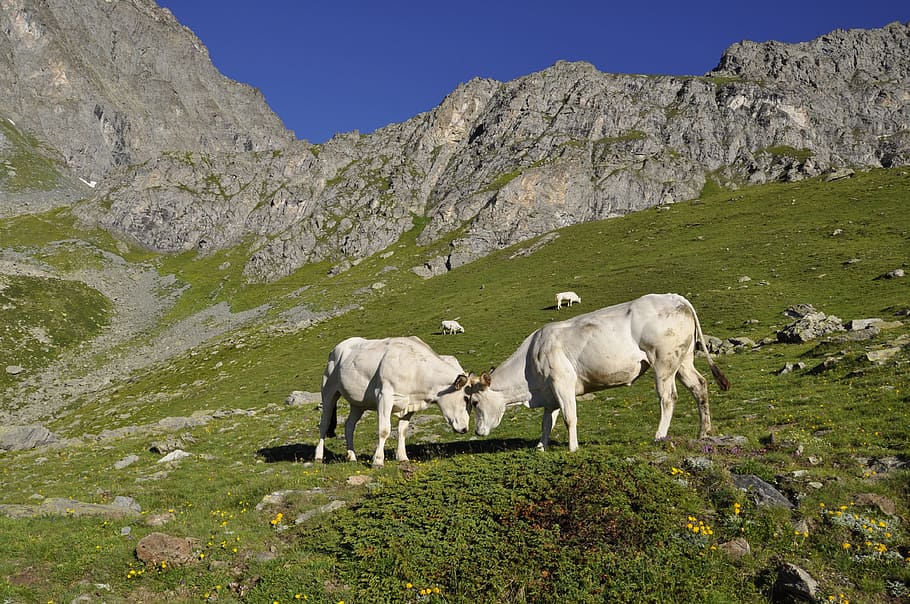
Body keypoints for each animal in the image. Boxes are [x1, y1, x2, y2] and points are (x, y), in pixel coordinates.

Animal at [314, 336, 472, 467]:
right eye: (465, 398)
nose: (465, 429)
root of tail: (338, 347)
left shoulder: (409, 404)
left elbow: (402, 430)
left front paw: (402, 457)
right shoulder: (384, 396)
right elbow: (384, 430)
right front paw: (378, 461)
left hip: (358, 403)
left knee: (349, 425)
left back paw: (352, 456)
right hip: (329, 391)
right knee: (324, 423)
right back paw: (318, 456)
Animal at [462, 293, 730, 452]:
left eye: (474, 402)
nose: (477, 431)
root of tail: (675, 297)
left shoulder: (562, 382)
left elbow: (569, 418)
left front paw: (572, 448)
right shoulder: (550, 392)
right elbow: (547, 422)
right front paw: (540, 447)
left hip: (663, 361)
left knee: (668, 398)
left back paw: (659, 436)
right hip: (683, 360)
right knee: (700, 386)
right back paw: (704, 432)